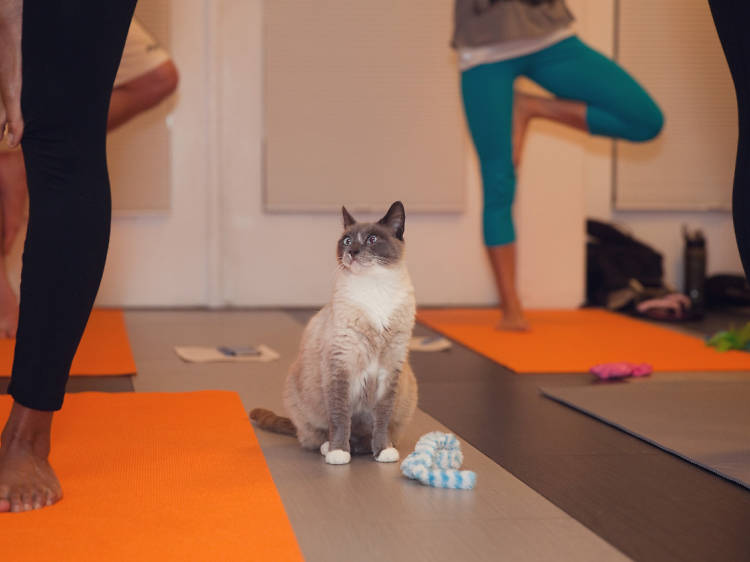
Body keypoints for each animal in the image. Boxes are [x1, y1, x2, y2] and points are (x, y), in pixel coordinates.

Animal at [251, 201, 418, 464]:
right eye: (347, 241)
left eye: (371, 239)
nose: (353, 252)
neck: (375, 288)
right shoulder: (340, 365)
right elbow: (340, 417)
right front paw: (339, 453)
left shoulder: (390, 370)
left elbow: (382, 420)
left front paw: (383, 451)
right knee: (316, 435)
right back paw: (332, 448)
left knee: (374, 434)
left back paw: (376, 446)